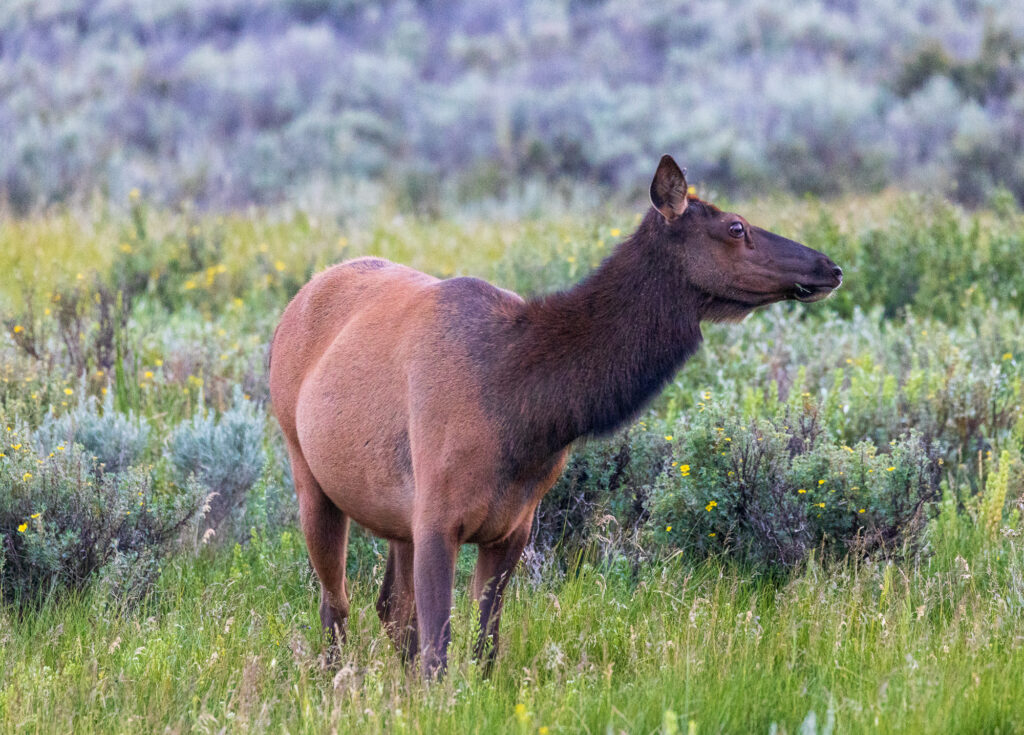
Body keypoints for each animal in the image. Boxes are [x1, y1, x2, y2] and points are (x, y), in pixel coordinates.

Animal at [268, 155, 843, 679]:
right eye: (736, 226)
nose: (830, 267)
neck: (527, 414)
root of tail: (296, 301)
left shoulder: (513, 525)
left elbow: (484, 649)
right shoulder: (435, 515)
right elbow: (440, 654)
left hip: (392, 517)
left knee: (389, 607)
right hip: (308, 472)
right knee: (337, 604)